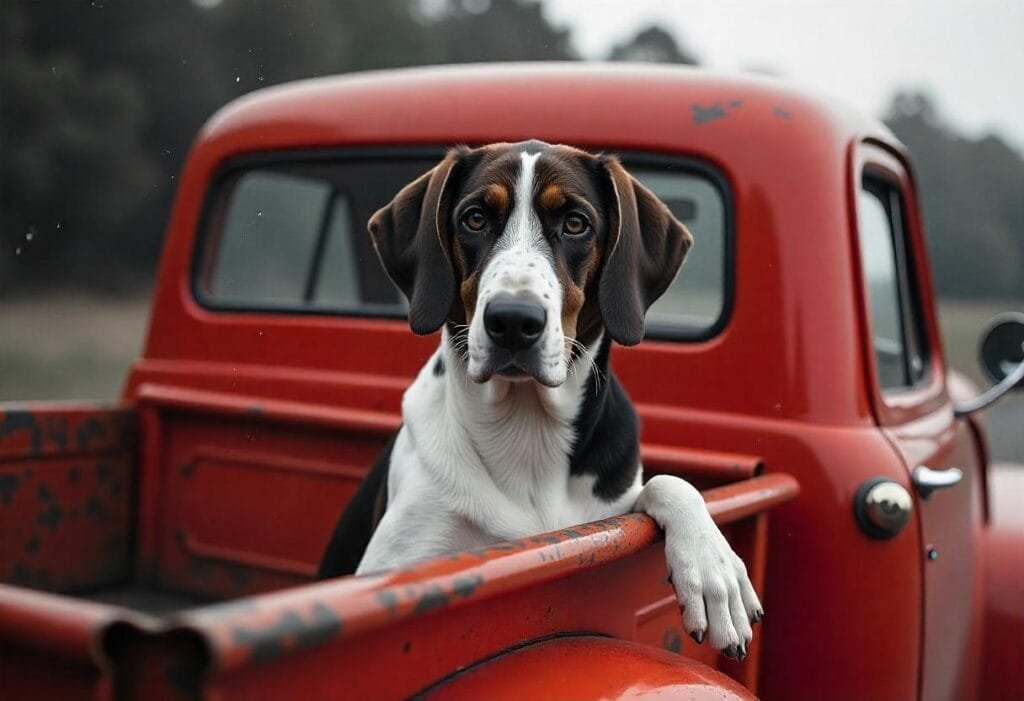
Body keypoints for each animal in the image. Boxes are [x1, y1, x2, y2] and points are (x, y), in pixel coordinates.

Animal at [317, 141, 761, 654]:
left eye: (575, 223)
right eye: (474, 218)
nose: (512, 320)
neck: (525, 428)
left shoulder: (610, 511)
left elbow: (671, 483)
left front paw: (714, 569)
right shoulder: (399, 561)